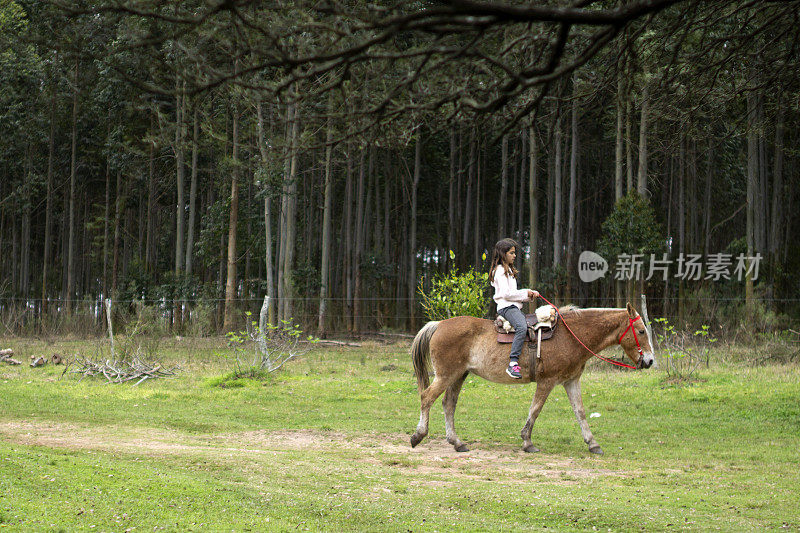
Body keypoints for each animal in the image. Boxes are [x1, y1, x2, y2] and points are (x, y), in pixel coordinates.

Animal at [410, 304, 652, 454]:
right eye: (641, 331)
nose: (649, 361)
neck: (570, 335)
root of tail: (439, 324)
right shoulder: (547, 381)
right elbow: (535, 409)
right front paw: (527, 441)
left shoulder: (571, 381)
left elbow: (580, 412)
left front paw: (593, 444)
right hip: (446, 375)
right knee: (427, 398)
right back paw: (418, 436)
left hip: (458, 376)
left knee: (448, 404)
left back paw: (457, 442)